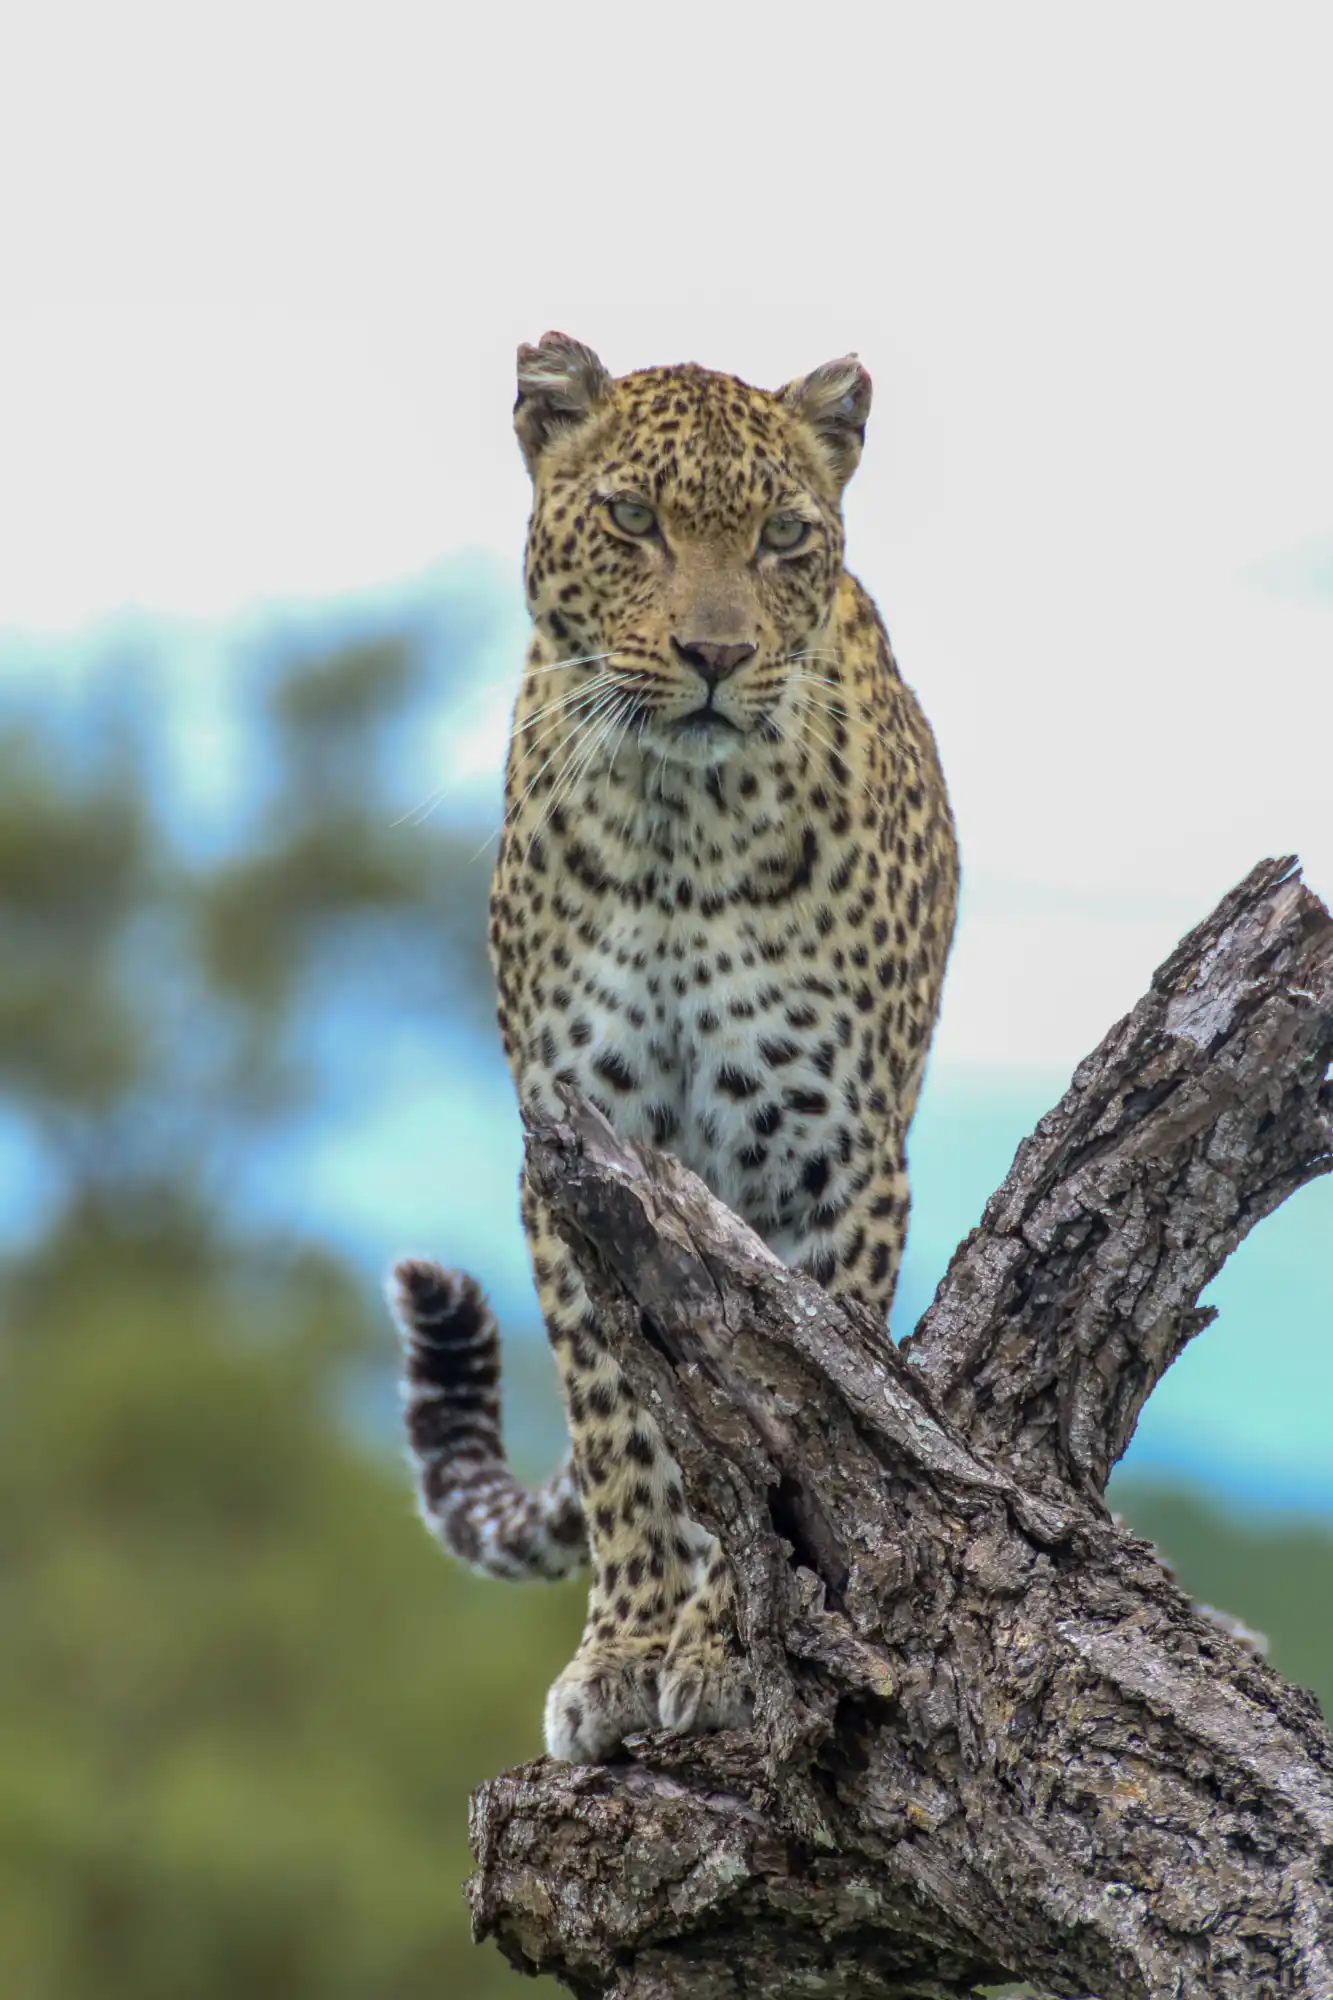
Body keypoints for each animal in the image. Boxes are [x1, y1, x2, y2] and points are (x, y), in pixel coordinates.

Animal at [389, 332, 959, 1763]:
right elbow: (624, 1427)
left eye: (782, 536)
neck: (676, 828)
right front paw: (627, 1646)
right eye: (633, 519)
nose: (713, 651)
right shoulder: (578, 1149)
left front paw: (719, 1646)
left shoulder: (832, 1167)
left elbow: (781, 1442)